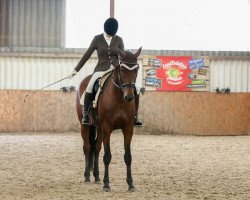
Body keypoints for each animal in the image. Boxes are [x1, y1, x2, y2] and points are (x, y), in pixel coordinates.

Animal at [76, 46, 142, 191]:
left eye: (136, 69)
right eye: (122, 69)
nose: (129, 97)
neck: (119, 98)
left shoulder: (128, 128)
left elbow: (128, 156)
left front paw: (130, 184)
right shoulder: (107, 127)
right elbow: (107, 156)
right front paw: (106, 184)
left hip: (98, 128)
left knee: (96, 147)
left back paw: (96, 177)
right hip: (86, 125)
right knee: (87, 147)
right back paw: (87, 177)